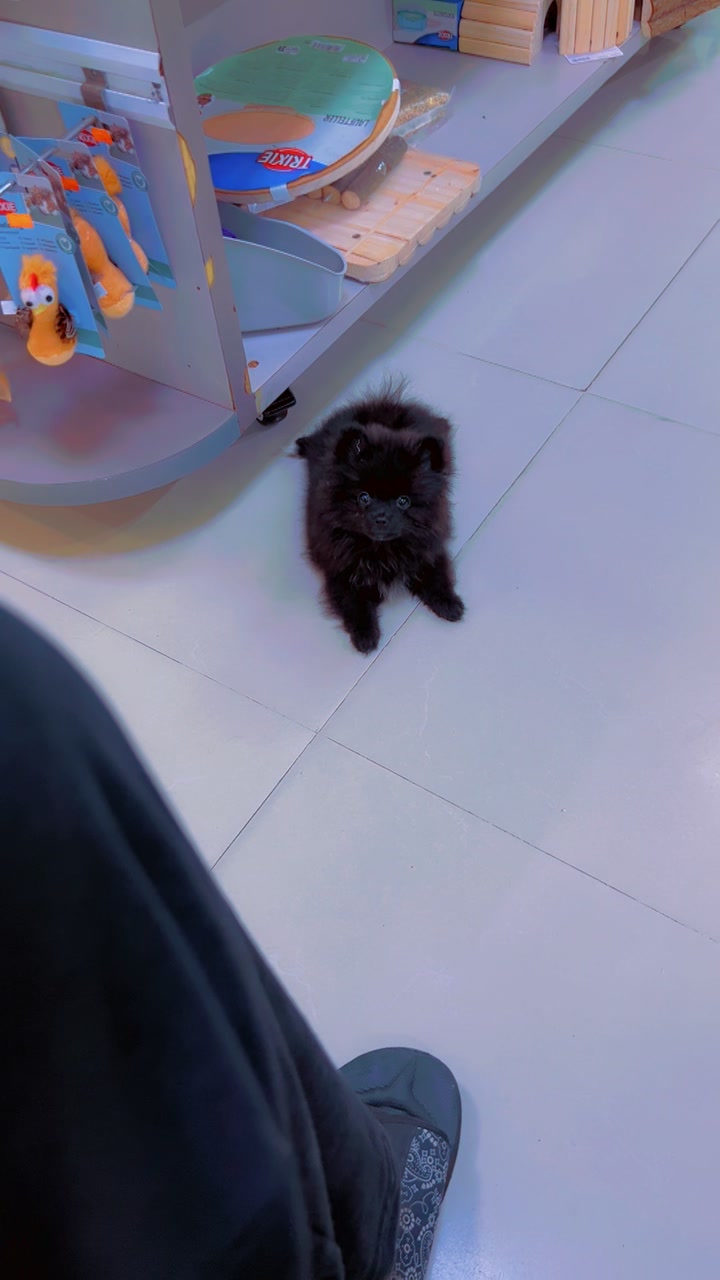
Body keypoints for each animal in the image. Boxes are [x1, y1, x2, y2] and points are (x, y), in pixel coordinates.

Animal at [296, 384, 464, 654]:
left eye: (403, 501)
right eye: (363, 497)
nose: (381, 517)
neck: (381, 549)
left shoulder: (428, 549)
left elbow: (437, 577)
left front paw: (449, 604)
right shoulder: (341, 569)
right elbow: (354, 604)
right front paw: (365, 635)